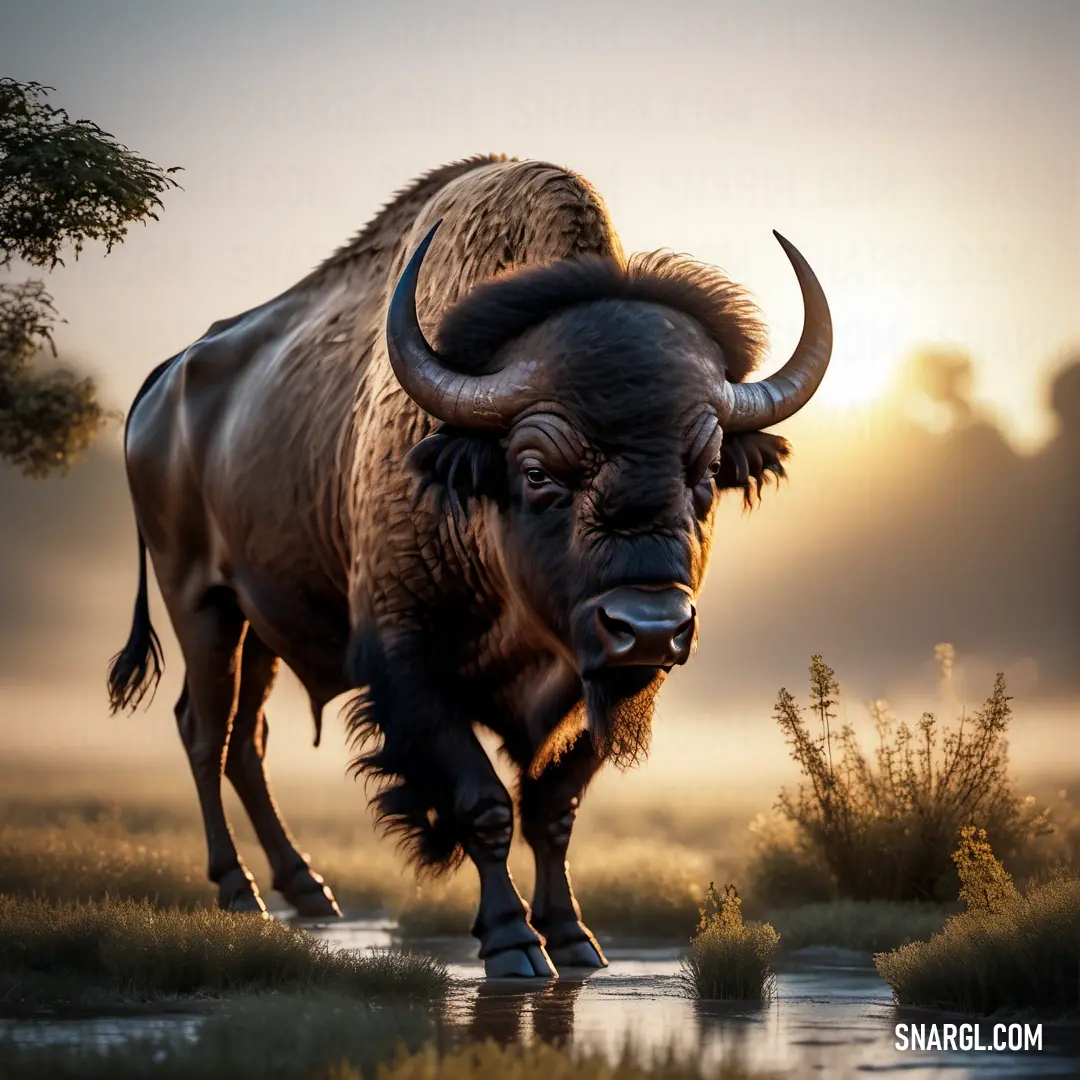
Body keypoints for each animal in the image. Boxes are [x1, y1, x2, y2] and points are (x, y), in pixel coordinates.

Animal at [109, 154, 829, 980]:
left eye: (705, 470)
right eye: (536, 469)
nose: (649, 627)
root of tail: (165, 380)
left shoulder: (593, 686)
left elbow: (552, 809)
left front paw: (574, 938)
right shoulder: (411, 663)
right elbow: (482, 803)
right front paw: (515, 942)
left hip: (262, 625)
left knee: (244, 741)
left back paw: (308, 890)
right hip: (201, 602)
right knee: (204, 729)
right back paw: (240, 892)